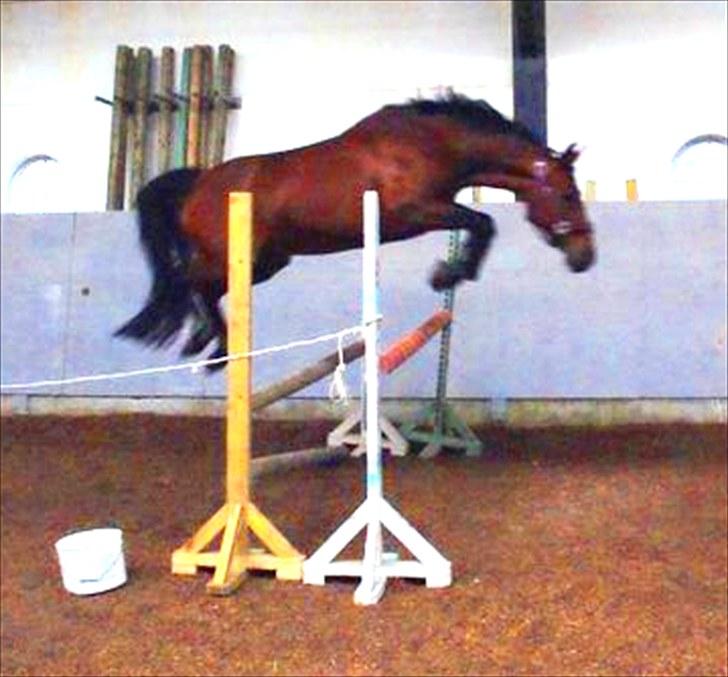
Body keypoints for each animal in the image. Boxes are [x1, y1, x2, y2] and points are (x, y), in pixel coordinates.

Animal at [115, 92, 596, 369]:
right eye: (568, 196)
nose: (585, 256)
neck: (432, 143)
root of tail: (200, 181)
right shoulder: (415, 212)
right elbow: (483, 222)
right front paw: (447, 274)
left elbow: (480, 224)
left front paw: (450, 273)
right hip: (235, 256)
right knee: (188, 280)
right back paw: (215, 349)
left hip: (266, 262)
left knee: (202, 287)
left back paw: (206, 343)